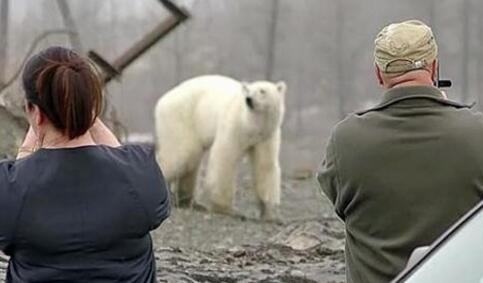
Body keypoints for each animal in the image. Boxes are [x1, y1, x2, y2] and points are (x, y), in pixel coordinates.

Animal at [155, 75, 286, 220]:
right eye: (248, 91)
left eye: (262, 91)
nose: (249, 99)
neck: (251, 125)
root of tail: (163, 100)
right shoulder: (234, 125)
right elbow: (225, 157)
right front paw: (227, 209)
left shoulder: (266, 136)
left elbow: (265, 165)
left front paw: (270, 214)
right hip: (181, 118)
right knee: (182, 154)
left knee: (191, 160)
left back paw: (190, 202)